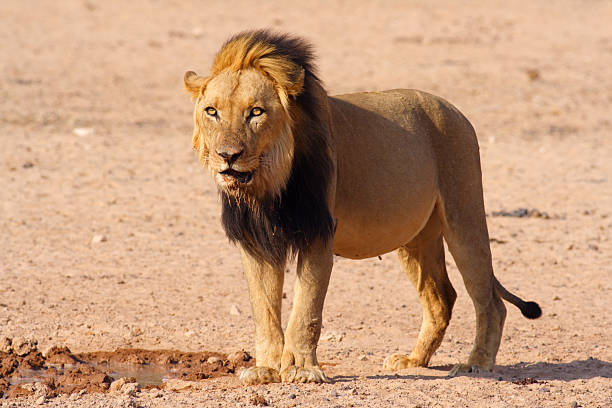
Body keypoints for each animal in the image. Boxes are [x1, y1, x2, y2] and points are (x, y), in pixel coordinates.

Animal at [183, 30, 540, 384]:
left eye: (256, 112)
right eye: (212, 111)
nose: (228, 155)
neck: (267, 188)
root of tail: (454, 109)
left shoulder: (319, 234)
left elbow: (306, 310)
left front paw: (301, 369)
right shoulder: (255, 241)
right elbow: (264, 310)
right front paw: (267, 369)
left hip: (463, 213)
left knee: (489, 300)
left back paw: (475, 363)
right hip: (415, 239)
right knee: (441, 298)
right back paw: (413, 360)